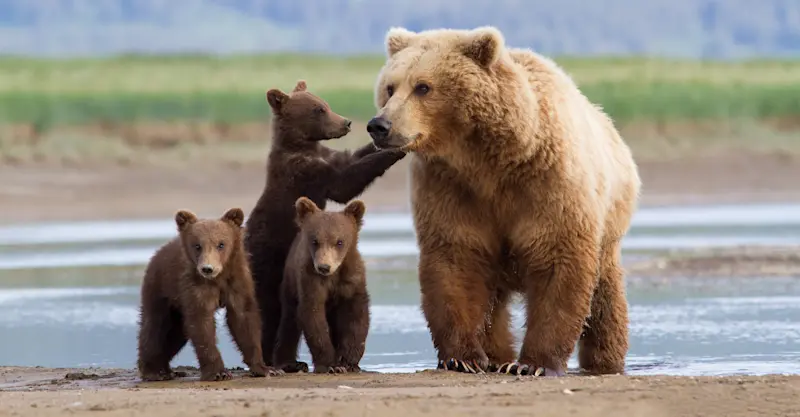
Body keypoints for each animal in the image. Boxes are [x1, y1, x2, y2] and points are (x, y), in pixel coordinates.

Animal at [137, 207, 280, 382]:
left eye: (221, 244)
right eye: (197, 245)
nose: (207, 268)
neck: (218, 279)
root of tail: (158, 253)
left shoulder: (237, 283)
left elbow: (244, 318)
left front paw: (266, 368)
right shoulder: (195, 287)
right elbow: (202, 324)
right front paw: (219, 372)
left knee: (176, 334)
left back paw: (169, 370)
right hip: (160, 290)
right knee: (155, 327)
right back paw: (154, 371)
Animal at [272, 197, 370, 374]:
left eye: (340, 241)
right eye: (315, 241)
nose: (324, 267)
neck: (333, 275)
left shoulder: (351, 280)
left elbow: (356, 315)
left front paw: (348, 362)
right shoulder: (310, 281)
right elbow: (313, 315)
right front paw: (330, 363)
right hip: (290, 284)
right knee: (289, 322)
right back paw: (290, 363)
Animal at [366, 26, 641, 376]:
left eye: (423, 86)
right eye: (389, 87)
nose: (379, 125)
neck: (489, 159)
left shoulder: (550, 186)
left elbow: (558, 263)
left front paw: (534, 365)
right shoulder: (451, 189)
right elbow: (456, 261)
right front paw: (462, 357)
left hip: (609, 224)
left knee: (605, 296)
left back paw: (605, 360)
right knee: (493, 303)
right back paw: (497, 356)